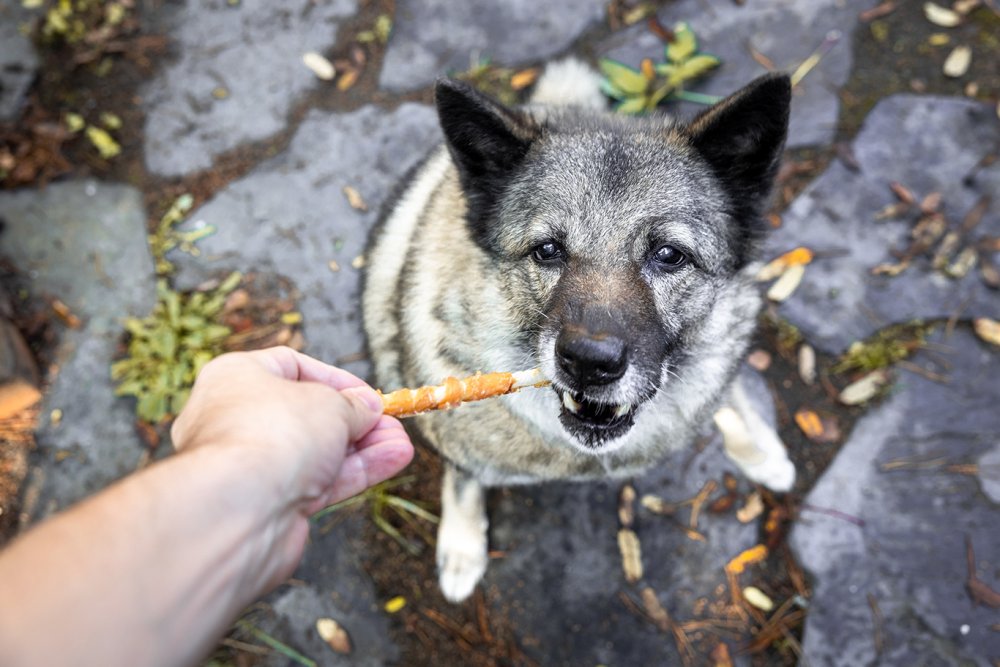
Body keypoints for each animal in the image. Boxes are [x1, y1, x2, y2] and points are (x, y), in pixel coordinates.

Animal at [364, 61, 792, 604]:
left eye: (669, 254)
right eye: (547, 250)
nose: (589, 363)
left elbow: (729, 397)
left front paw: (761, 452)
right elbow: (463, 483)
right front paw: (462, 548)